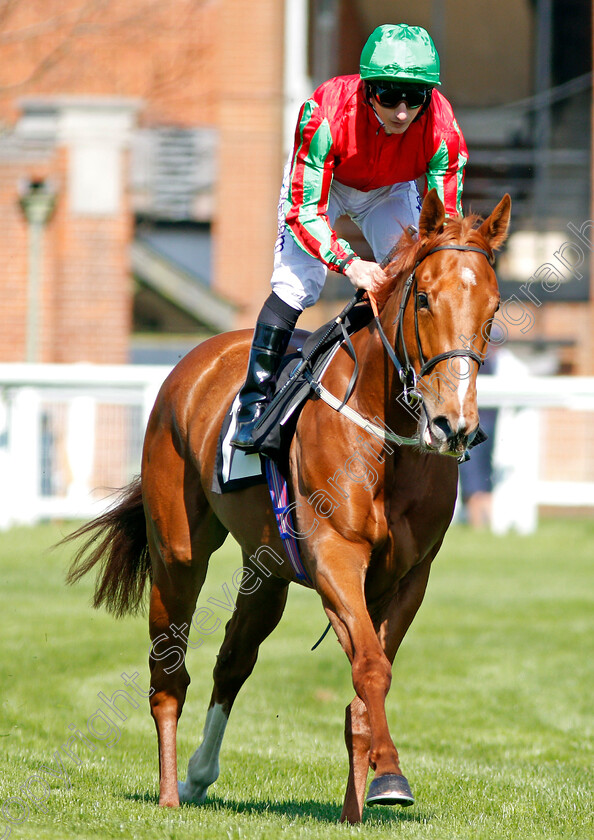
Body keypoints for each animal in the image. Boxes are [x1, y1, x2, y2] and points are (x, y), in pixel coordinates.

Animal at [66, 189, 508, 820]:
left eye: (493, 307)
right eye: (424, 298)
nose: (455, 425)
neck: (389, 437)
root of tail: (195, 360)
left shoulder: (408, 576)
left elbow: (367, 684)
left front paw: (359, 803)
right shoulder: (335, 558)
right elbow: (370, 667)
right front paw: (390, 775)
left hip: (266, 569)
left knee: (234, 655)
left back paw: (200, 775)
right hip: (177, 552)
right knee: (168, 672)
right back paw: (171, 792)